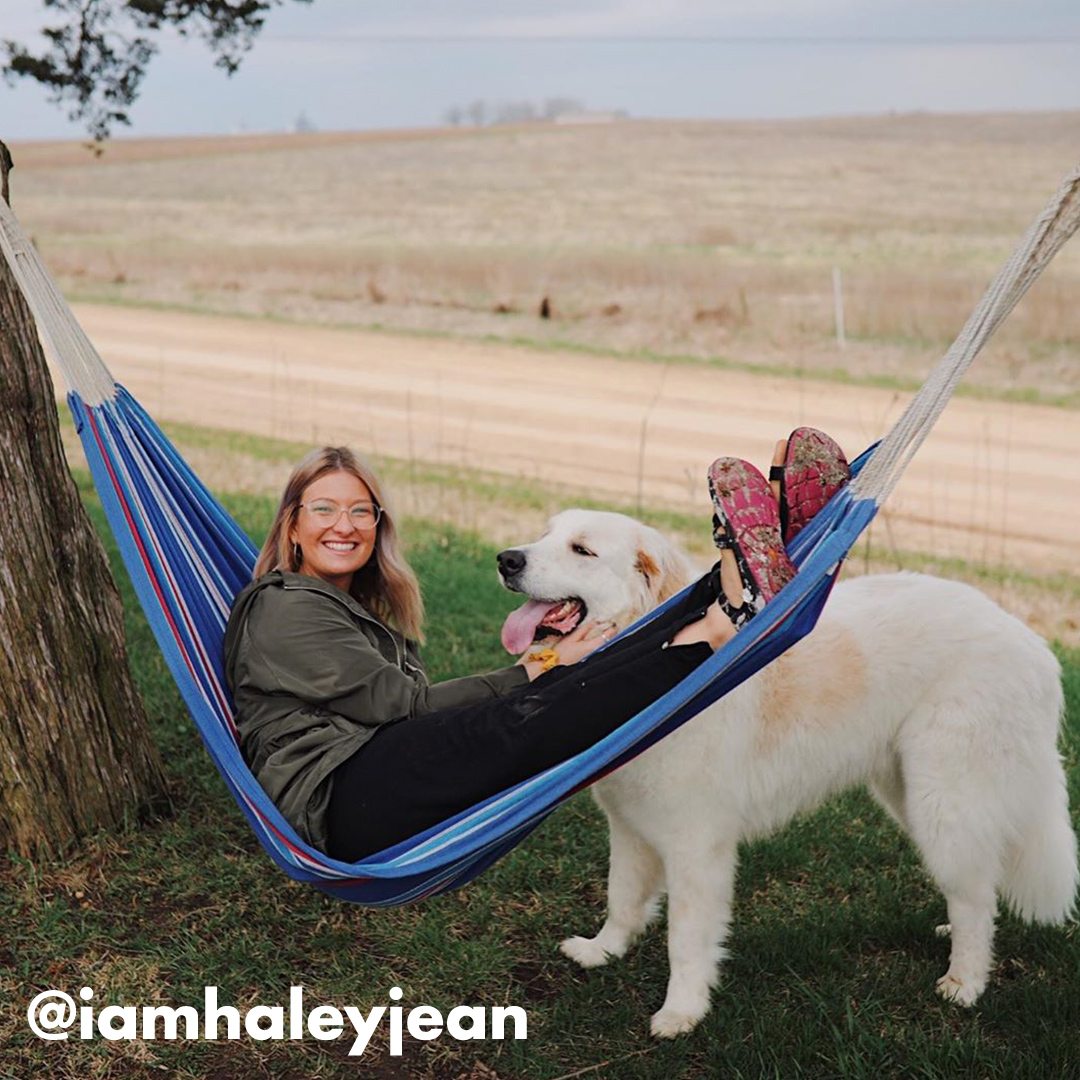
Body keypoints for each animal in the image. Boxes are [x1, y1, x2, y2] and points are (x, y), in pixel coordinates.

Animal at [498, 511, 1080, 1036]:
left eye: (582, 550)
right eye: (546, 534)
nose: (506, 559)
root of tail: (1034, 645)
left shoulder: (696, 847)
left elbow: (685, 939)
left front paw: (681, 1013)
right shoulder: (630, 826)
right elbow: (622, 898)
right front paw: (603, 951)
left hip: (944, 801)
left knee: (976, 896)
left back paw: (964, 984)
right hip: (910, 794)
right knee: (973, 885)